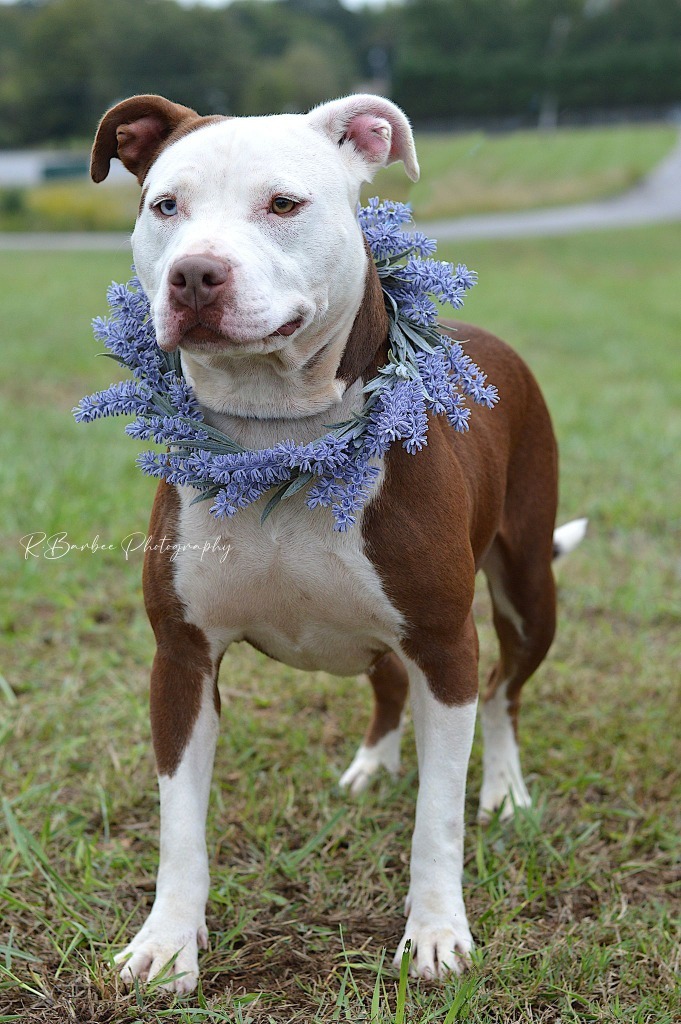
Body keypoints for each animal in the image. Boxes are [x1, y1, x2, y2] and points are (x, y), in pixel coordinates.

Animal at [89, 94, 585, 991]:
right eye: (164, 206)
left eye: (283, 204)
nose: (194, 275)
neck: (276, 441)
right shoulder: (181, 657)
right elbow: (179, 822)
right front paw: (167, 944)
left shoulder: (445, 645)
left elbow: (437, 816)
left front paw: (435, 933)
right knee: (388, 682)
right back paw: (373, 764)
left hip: (528, 587)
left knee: (503, 690)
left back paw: (503, 789)